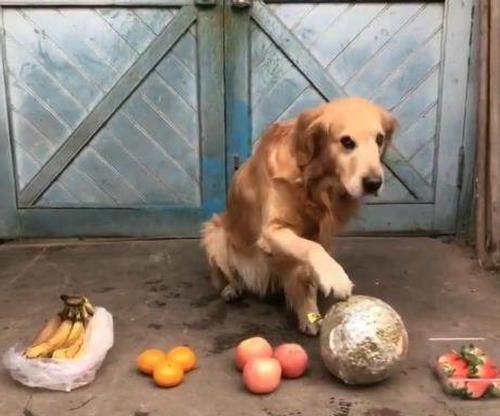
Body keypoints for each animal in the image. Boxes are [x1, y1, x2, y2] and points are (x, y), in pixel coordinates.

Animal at [201, 96, 396, 334]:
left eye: (379, 139)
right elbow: (311, 248)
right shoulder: (271, 230)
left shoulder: (321, 234)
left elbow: (307, 271)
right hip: (215, 233)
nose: (374, 183)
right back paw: (231, 289)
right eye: (347, 142)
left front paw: (309, 314)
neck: (312, 182)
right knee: (228, 276)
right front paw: (336, 277)